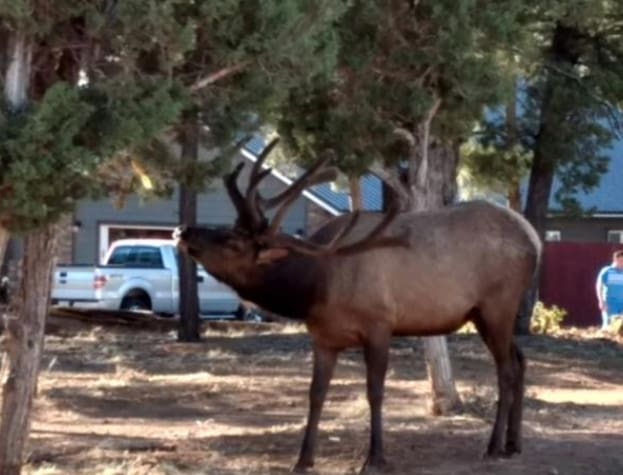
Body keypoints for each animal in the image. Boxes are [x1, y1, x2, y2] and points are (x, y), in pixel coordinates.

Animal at [174, 143, 540, 474]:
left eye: (231, 241)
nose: (182, 229)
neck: (314, 286)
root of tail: (534, 241)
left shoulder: (379, 325)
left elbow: (374, 392)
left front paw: (374, 458)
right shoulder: (323, 337)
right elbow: (316, 393)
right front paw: (303, 459)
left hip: (497, 306)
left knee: (506, 369)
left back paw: (493, 446)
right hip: (485, 315)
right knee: (521, 360)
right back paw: (514, 444)